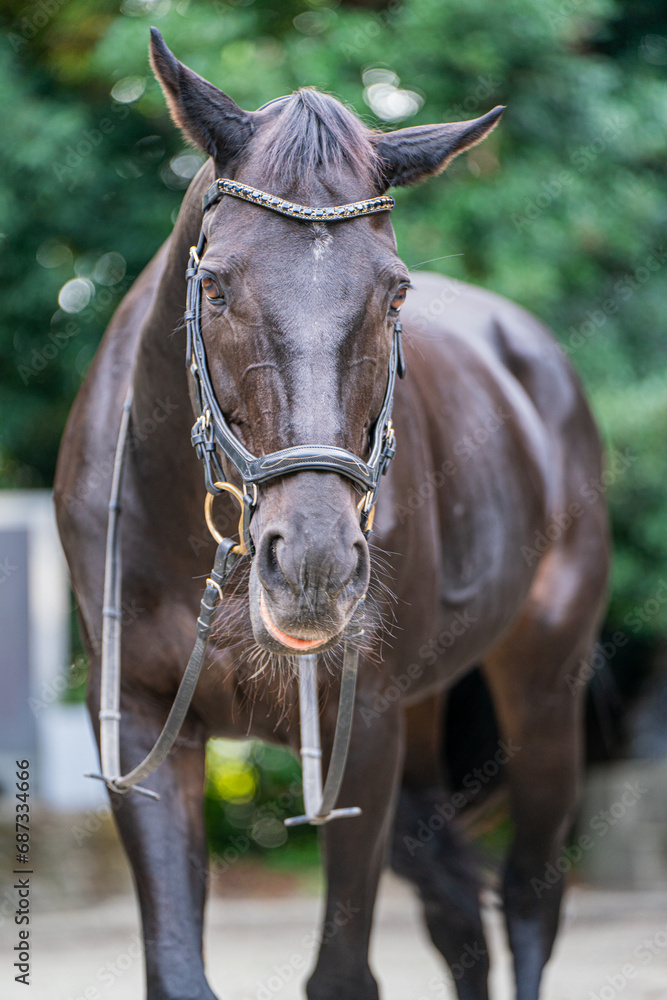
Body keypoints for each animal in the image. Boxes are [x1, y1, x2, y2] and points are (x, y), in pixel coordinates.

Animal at [54, 28, 609, 1000]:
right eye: (216, 288)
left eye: (395, 293)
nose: (311, 568)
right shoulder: (139, 724)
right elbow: (176, 969)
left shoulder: (369, 730)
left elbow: (342, 974)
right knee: (458, 916)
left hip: (543, 691)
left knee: (530, 900)